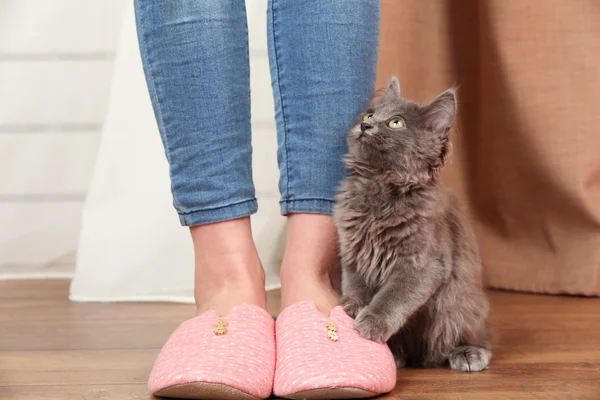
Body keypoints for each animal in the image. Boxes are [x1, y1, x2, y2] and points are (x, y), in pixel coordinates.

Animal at [332, 77, 492, 372]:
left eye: (396, 123)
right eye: (369, 114)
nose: (366, 125)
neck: (379, 186)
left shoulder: (422, 264)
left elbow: (393, 296)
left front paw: (372, 322)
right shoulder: (354, 252)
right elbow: (356, 284)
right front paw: (352, 307)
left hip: (459, 305)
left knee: (477, 335)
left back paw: (468, 353)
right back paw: (396, 355)